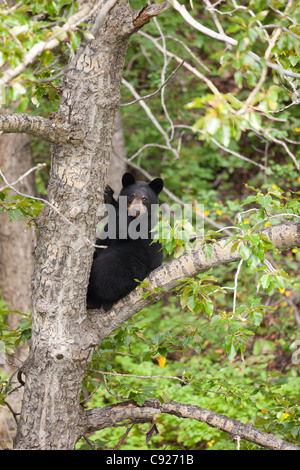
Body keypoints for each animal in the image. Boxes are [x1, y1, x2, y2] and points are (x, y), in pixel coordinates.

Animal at [86, 171, 164, 310]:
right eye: (132, 195)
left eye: (145, 198)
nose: (136, 211)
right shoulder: (107, 235)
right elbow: (102, 242)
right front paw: (107, 191)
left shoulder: (141, 227)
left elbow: (124, 227)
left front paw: (110, 197)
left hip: (127, 267)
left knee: (105, 273)